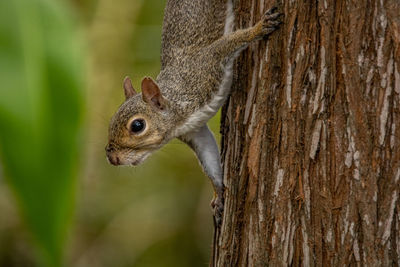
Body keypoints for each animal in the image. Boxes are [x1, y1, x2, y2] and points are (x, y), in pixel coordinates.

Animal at [106, 0, 282, 226]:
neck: (179, 107)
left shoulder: (205, 67)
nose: (112, 158)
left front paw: (259, 28)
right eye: (111, 121)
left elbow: (228, 43)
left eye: (137, 126)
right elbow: (209, 159)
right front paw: (218, 195)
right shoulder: (195, 133)